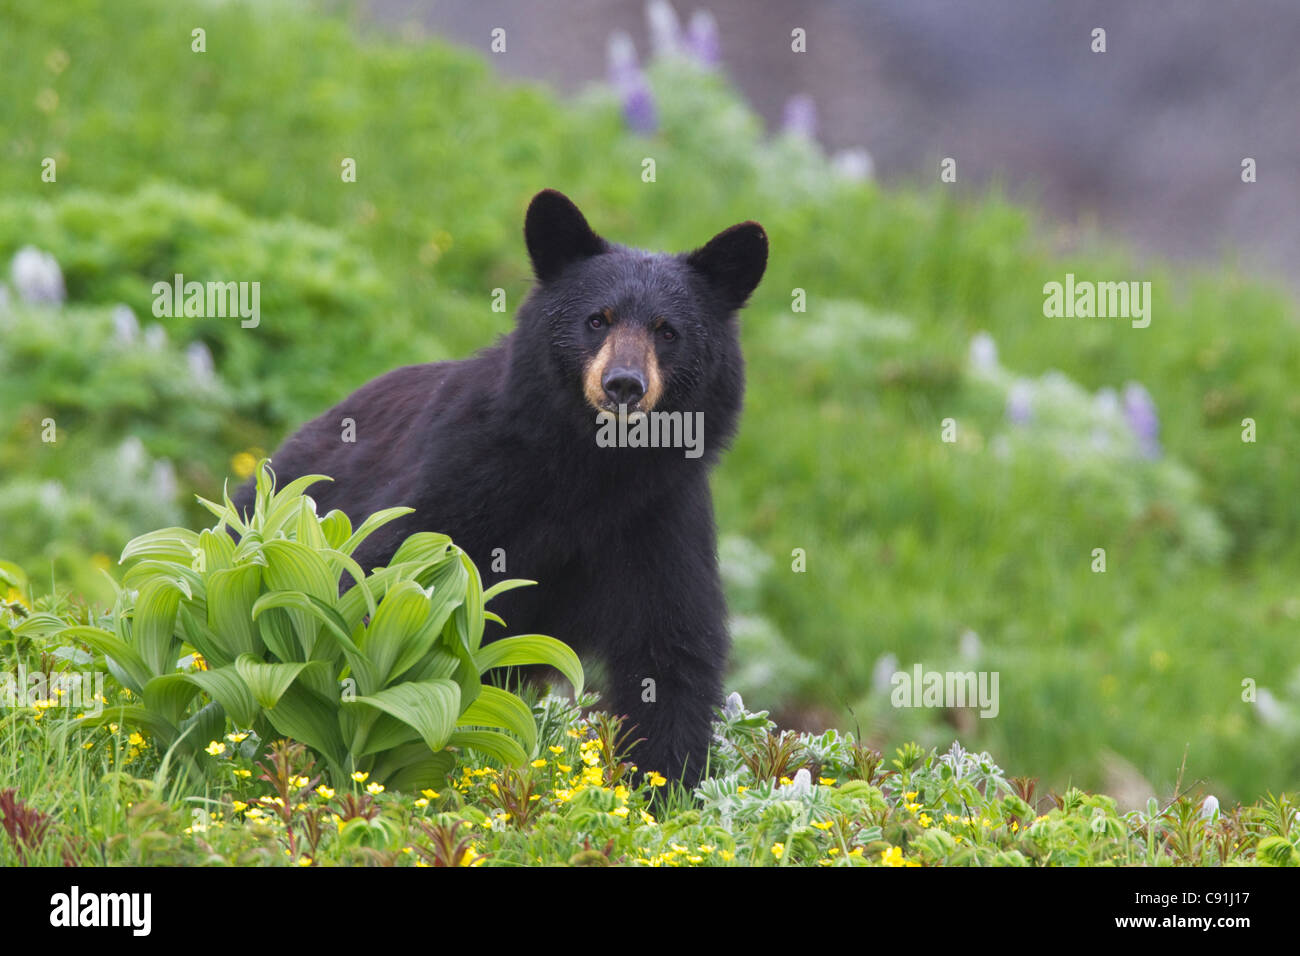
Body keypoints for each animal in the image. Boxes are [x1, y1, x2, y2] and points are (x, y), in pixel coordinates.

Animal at [233, 188, 764, 785]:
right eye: (596, 320)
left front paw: (664, 784)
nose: (624, 384)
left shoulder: (660, 513)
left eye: (667, 331)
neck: (594, 469)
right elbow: (384, 575)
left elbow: (671, 646)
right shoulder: (469, 472)